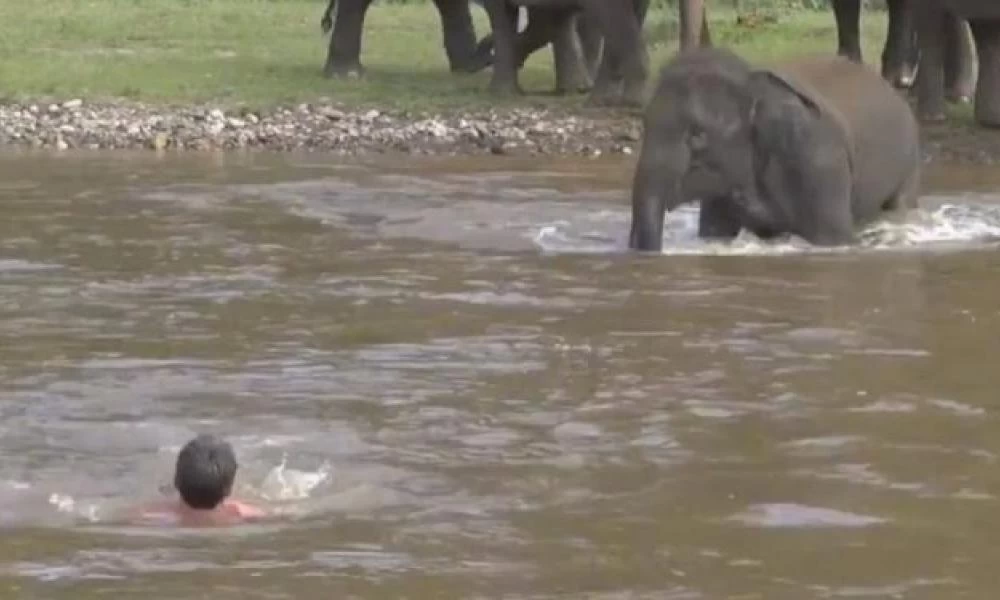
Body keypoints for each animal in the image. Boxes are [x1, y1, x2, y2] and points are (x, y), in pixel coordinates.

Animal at [628, 47, 924, 251]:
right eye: (644, 124)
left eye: (697, 135)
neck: (752, 83)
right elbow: (715, 231)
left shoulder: (820, 162)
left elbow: (831, 237)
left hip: (908, 162)